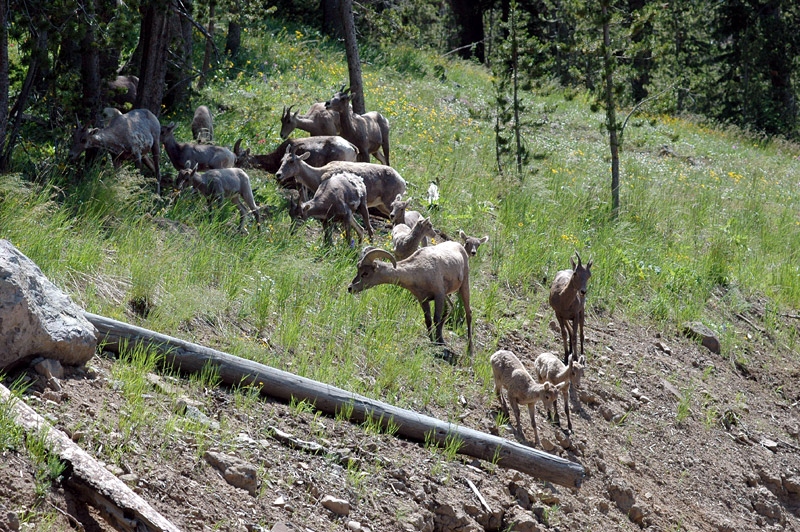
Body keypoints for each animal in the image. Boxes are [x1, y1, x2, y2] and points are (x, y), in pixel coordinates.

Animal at [276, 145, 406, 216]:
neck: (320, 174)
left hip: (389, 203)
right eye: (282, 160)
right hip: (381, 206)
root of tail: (403, 182)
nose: (278, 175)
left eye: (291, 161)